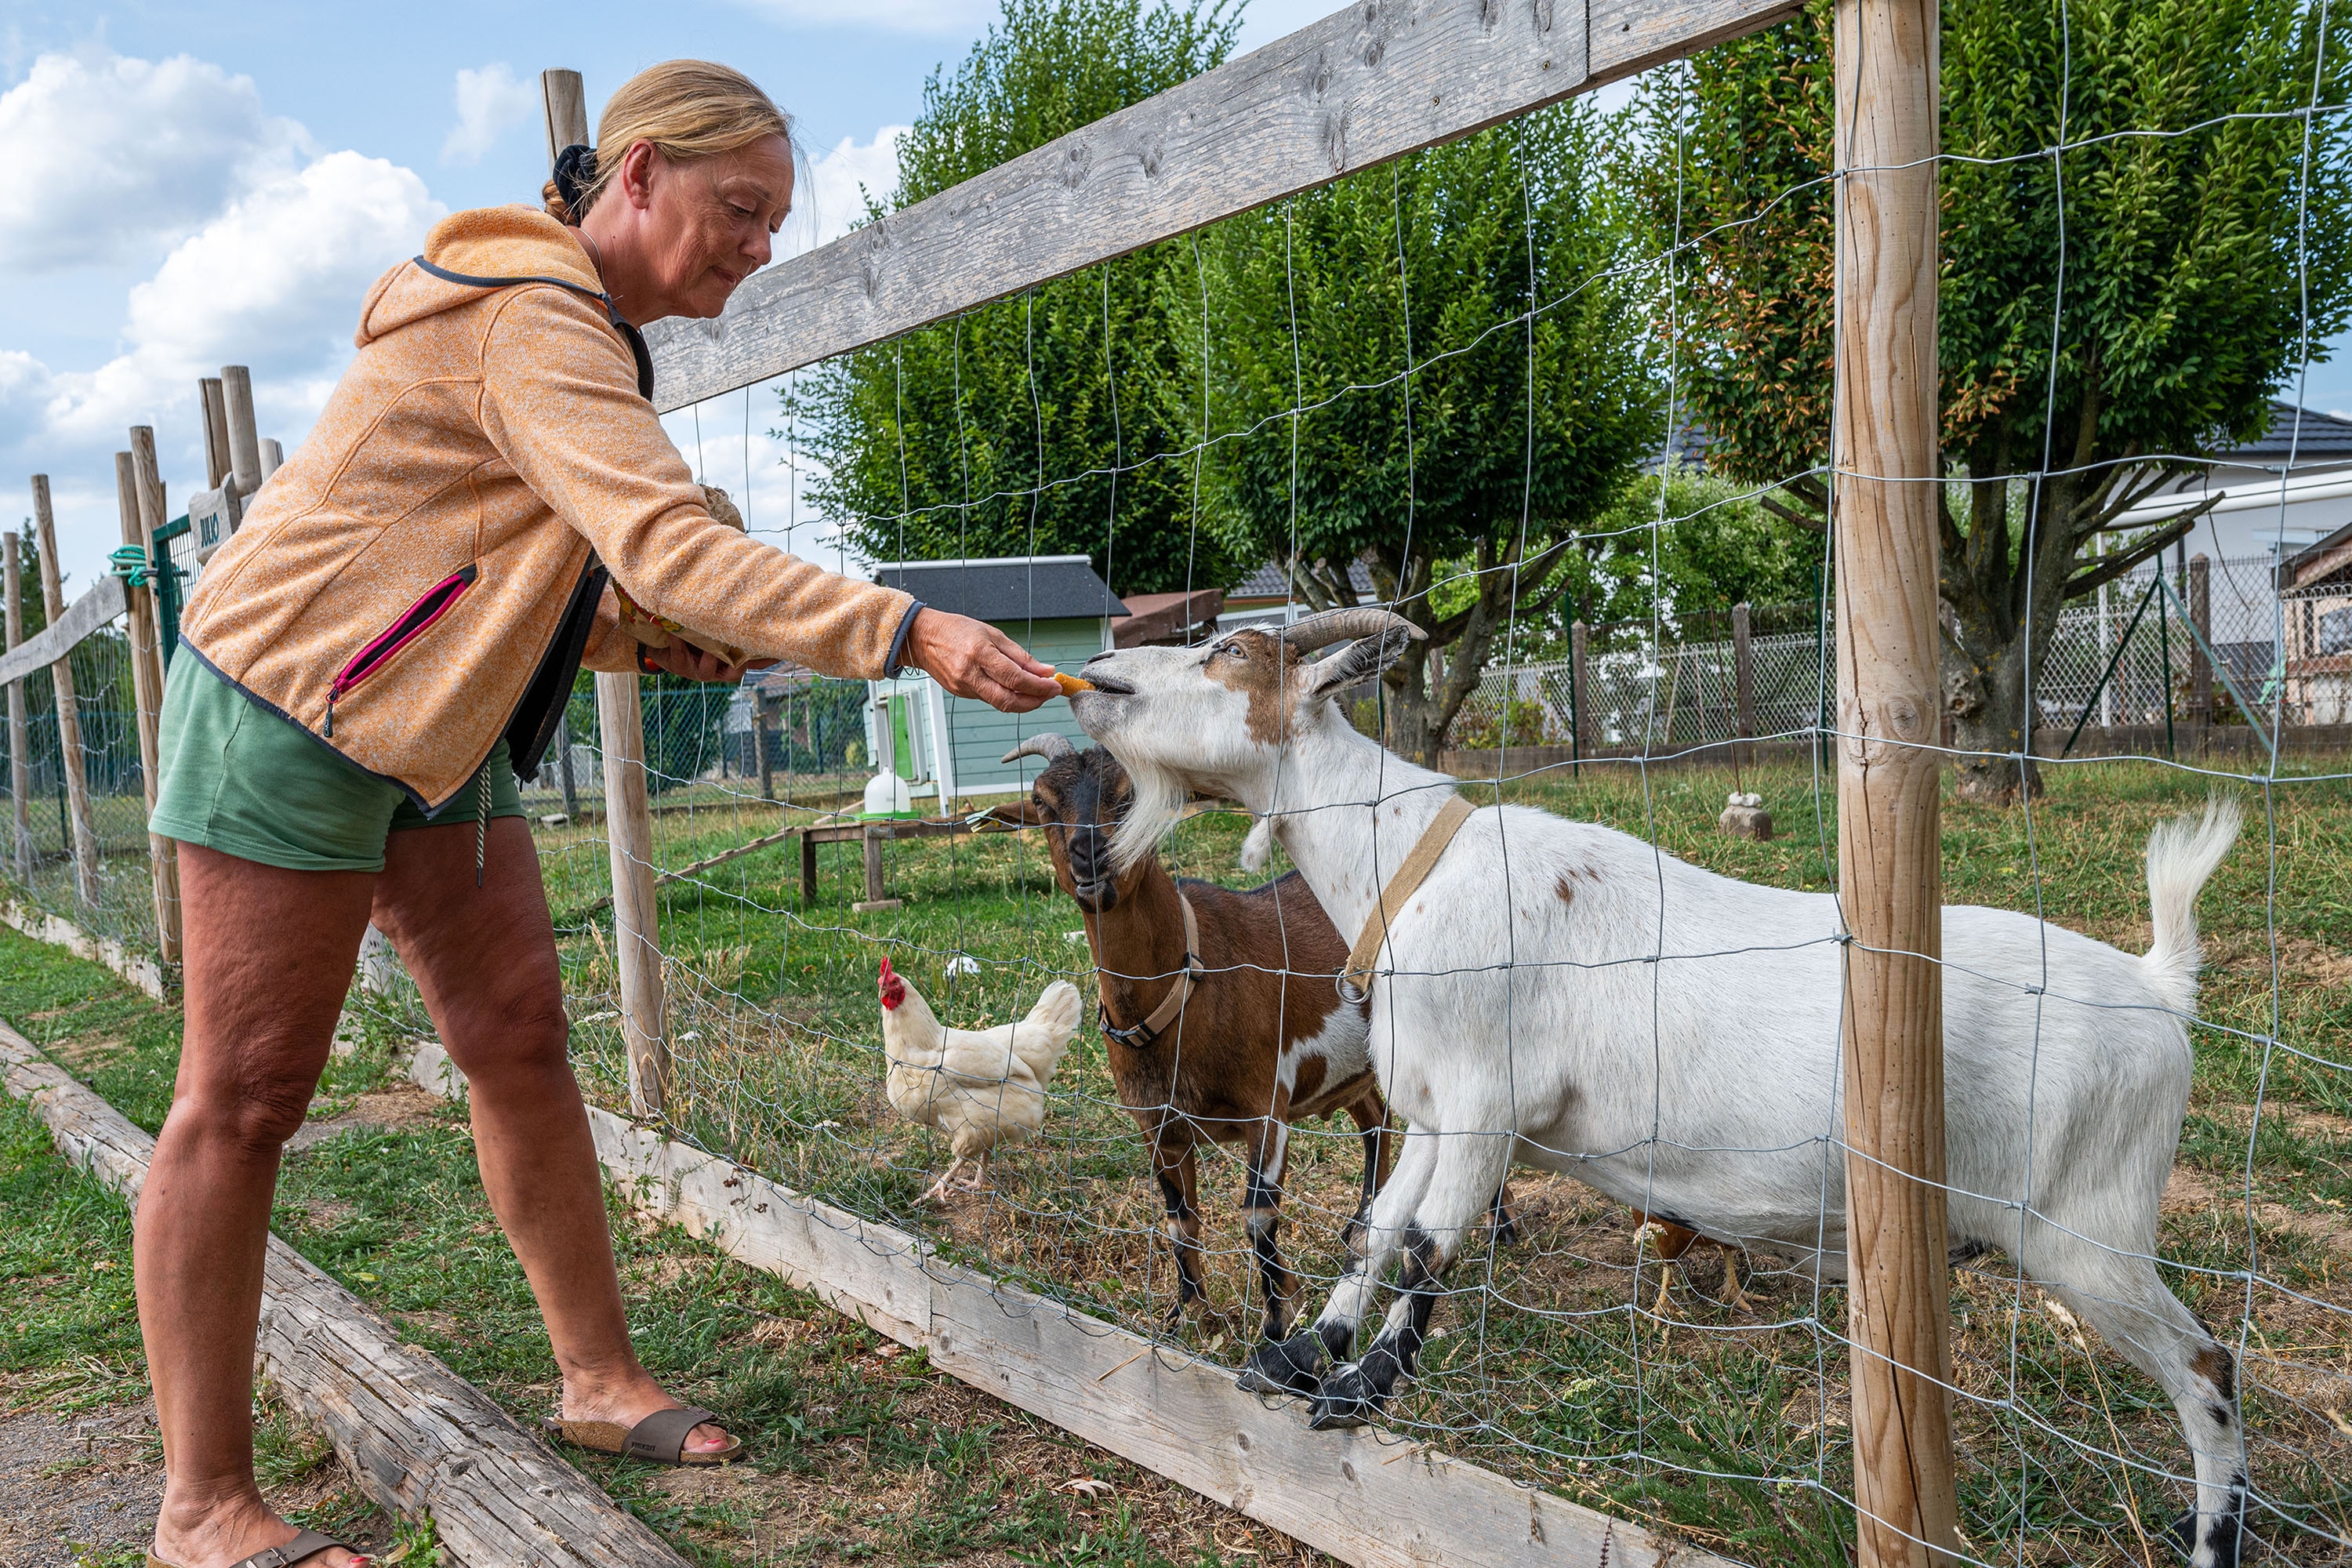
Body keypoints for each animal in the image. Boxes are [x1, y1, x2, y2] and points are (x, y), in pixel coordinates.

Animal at [978, 733, 1392, 1335]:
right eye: (1043, 802)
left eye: (1132, 796)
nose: (1090, 855)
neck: (1186, 989)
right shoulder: (1160, 1129)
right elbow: (1181, 1221)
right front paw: (1187, 1313)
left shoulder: (1266, 1108)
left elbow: (1257, 1218)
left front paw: (1277, 1324)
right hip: (1352, 1071)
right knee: (1377, 1121)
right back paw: (1363, 1230)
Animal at [1077, 611, 2249, 1568]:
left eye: (1230, 652)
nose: (1094, 674)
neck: (1411, 863)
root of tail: (2158, 990)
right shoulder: (1433, 1107)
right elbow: (1373, 1232)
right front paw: (1297, 1355)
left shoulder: (1491, 1097)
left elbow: (1428, 1245)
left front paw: (1359, 1392)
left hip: (2087, 1225)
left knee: (2208, 1366)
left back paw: (2208, 1539)